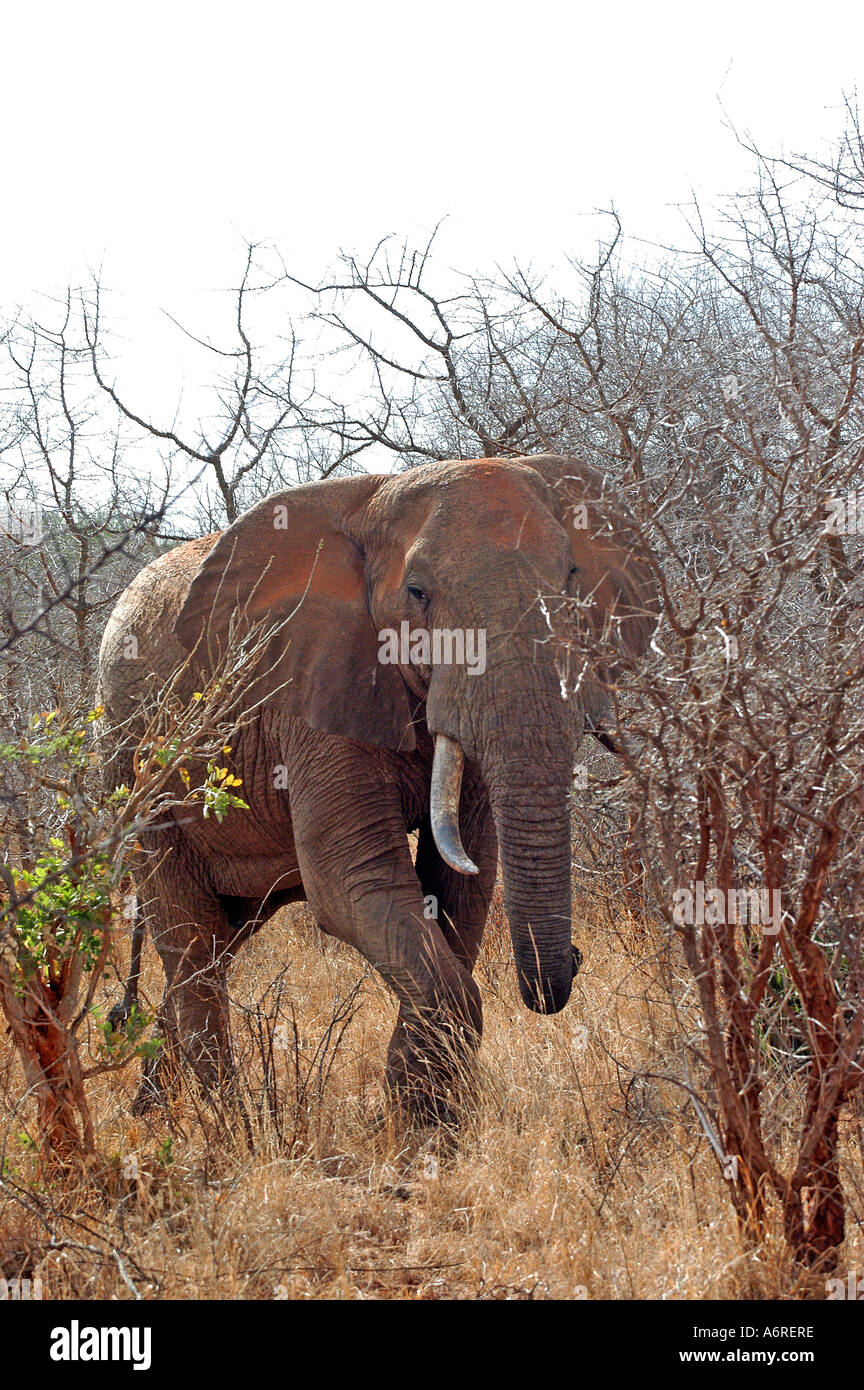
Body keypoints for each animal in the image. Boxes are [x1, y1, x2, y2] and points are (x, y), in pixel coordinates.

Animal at [94, 450, 661, 1123]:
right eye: (417, 594)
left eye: (572, 577)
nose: (570, 962)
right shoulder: (312, 686)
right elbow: (353, 880)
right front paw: (412, 1120)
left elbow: (462, 884)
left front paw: (425, 1116)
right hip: (138, 772)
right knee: (192, 950)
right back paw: (230, 1131)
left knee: (219, 942)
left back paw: (152, 1111)